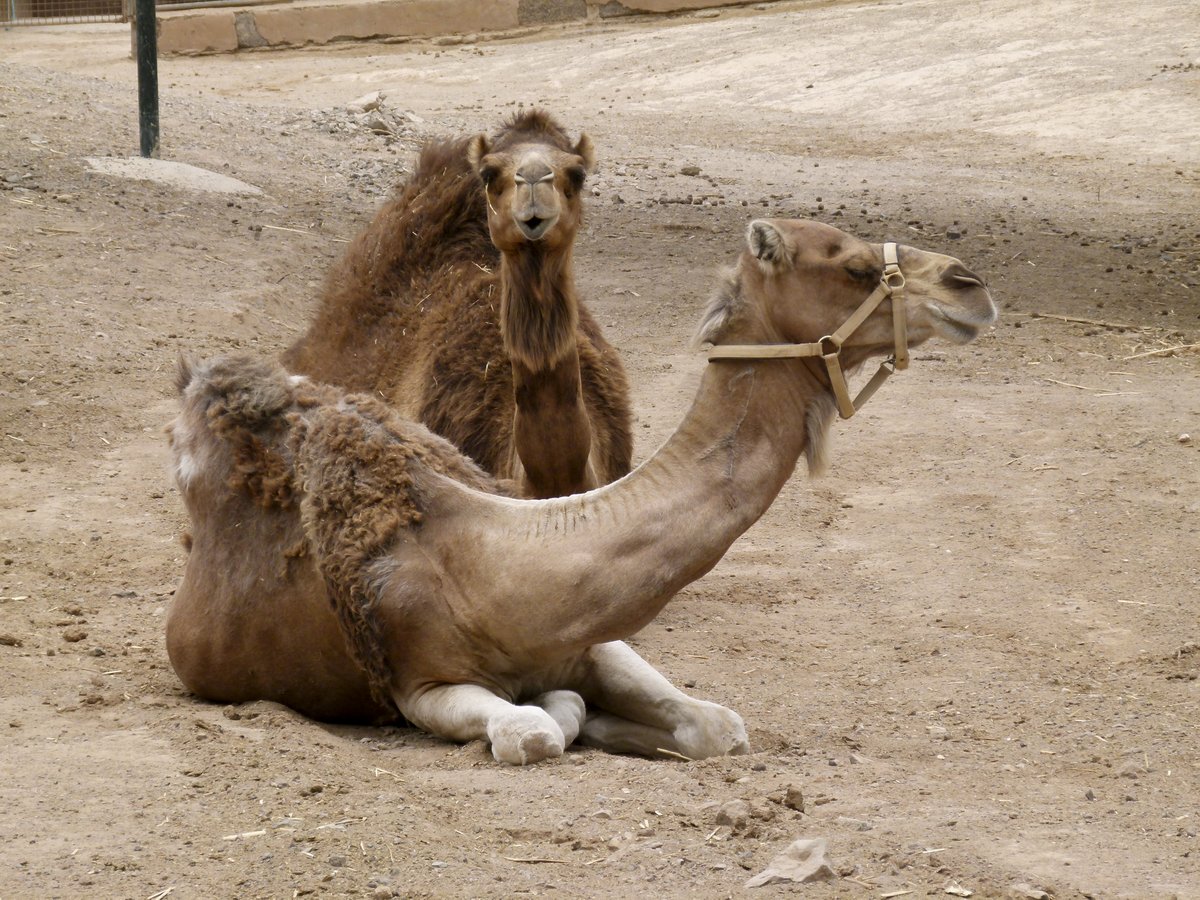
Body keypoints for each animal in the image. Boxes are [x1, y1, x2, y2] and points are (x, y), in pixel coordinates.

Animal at [166, 218, 993, 763]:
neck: (494, 556)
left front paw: (614, 724)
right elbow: (531, 730)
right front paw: (570, 719)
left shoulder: (591, 639)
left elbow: (718, 726)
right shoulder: (417, 682)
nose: (971, 285)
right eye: (852, 267)